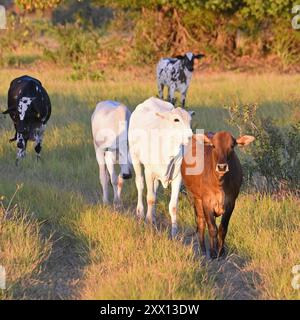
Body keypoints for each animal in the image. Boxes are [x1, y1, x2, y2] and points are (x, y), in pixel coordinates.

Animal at [127, 95, 193, 238]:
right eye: (176, 120)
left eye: (190, 120)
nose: (190, 137)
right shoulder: (149, 172)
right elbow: (150, 198)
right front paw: (148, 224)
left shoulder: (178, 177)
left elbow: (173, 205)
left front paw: (174, 232)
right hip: (135, 159)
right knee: (140, 185)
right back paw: (141, 212)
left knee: (155, 189)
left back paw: (153, 216)